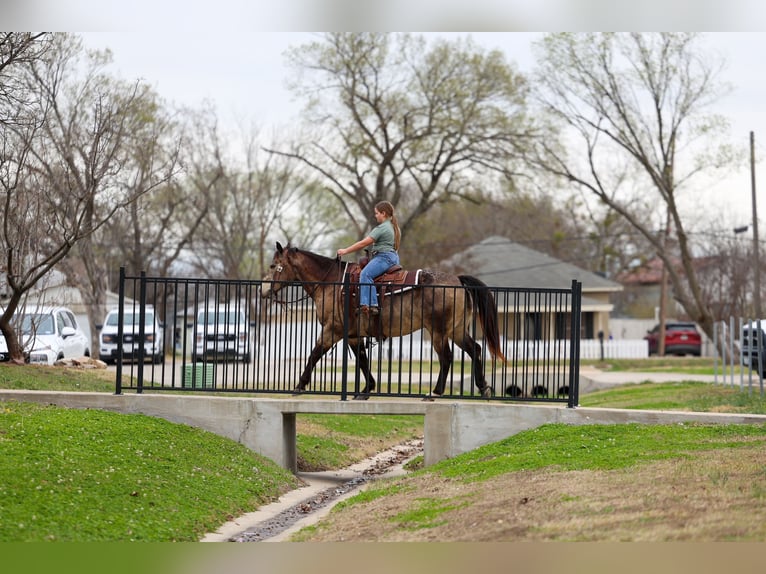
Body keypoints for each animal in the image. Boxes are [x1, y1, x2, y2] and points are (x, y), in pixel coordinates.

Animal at [260, 242, 506, 400]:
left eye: (273, 266)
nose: (263, 291)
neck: (332, 283)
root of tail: (457, 280)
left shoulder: (333, 330)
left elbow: (314, 354)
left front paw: (299, 385)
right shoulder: (353, 335)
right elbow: (362, 360)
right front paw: (366, 390)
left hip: (438, 332)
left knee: (446, 357)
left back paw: (435, 392)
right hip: (456, 330)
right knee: (475, 349)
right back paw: (483, 387)